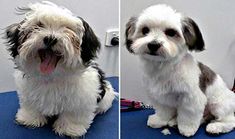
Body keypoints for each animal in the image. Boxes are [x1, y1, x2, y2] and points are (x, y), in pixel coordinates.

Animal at [5, 1, 116, 137]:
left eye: (67, 28)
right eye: (39, 25)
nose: (50, 38)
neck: (52, 76)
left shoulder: (81, 100)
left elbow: (74, 114)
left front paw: (70, 128)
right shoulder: (28, 93)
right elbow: (31, 105)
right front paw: (29, 118)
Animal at [126, 4, 235, 137]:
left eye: (171, 32)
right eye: (145, 30)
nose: (153, 44)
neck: (163, 67)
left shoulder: (191, 98)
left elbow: (188, 115)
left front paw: (187, 129)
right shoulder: (161, 96)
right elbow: (163, 110)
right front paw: (159, 120)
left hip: (218, 105)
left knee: (230, 120)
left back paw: (216, 127)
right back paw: (175, 121)